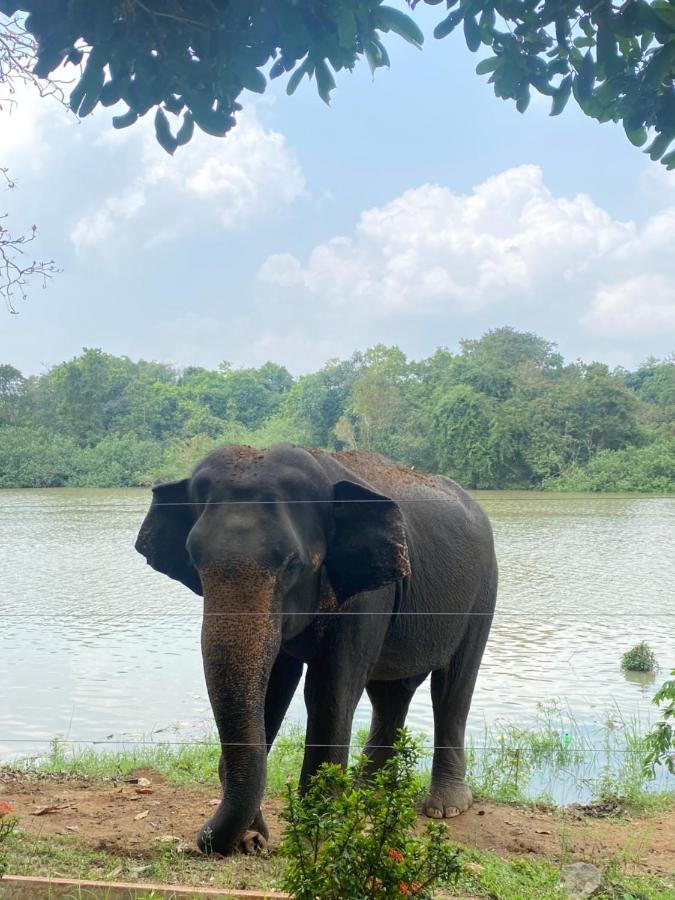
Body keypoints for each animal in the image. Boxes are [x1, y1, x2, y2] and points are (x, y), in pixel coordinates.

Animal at [136, 446, 496, 856]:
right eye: (194, 560)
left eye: (293, 564)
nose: (249, 840)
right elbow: (273, 688)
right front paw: (258, 835)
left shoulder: (366, 596)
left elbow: (329, 691)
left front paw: (318, 831)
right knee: (390, 692)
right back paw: (365, 792)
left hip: (484, 589)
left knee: (453, 686)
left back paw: (444, 807)